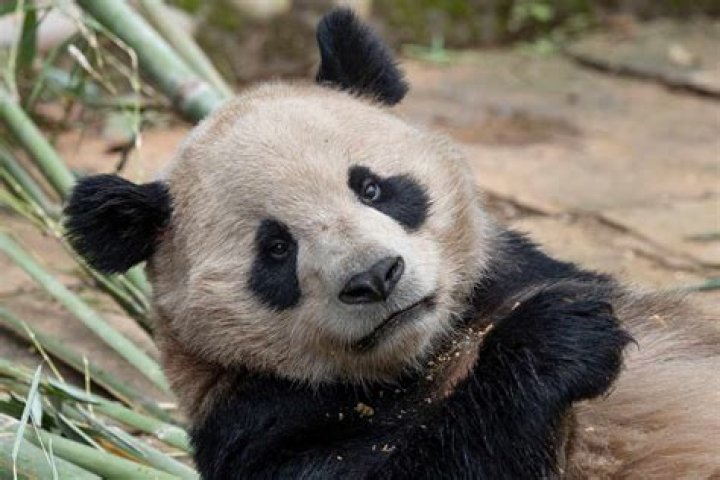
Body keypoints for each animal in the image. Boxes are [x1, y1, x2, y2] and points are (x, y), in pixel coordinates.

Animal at [64, 9, 720, 480]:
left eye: (373, 187)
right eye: (275, 250)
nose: (376, 277)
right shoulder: (258, 425)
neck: (424, 355)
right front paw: (554, 338)